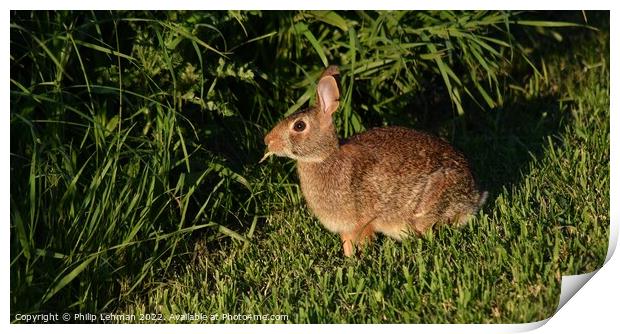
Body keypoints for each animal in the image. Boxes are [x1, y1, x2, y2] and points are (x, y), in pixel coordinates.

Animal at [260, 66, 486, 258]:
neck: (325, 157)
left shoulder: (363, 221)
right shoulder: (346, 228)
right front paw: (349, 261)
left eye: (299, 126)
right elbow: (347, 244)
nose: (267, 140)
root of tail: (474, 196)